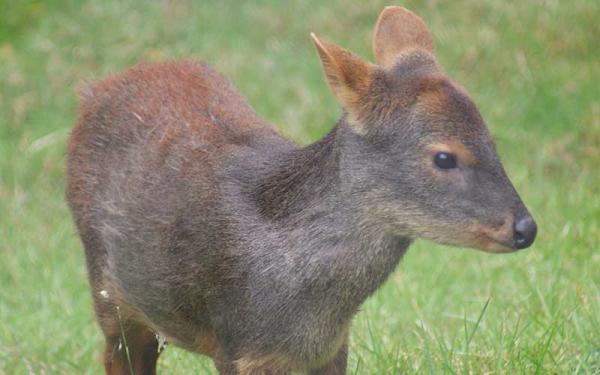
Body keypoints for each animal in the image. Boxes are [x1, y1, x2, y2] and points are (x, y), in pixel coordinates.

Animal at [65, 5, 536, 375]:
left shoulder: (332, 347)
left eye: (491, 140)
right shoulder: (236, 344)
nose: (525, 228)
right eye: (443, 157)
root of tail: (93, 90)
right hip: (108, 289)